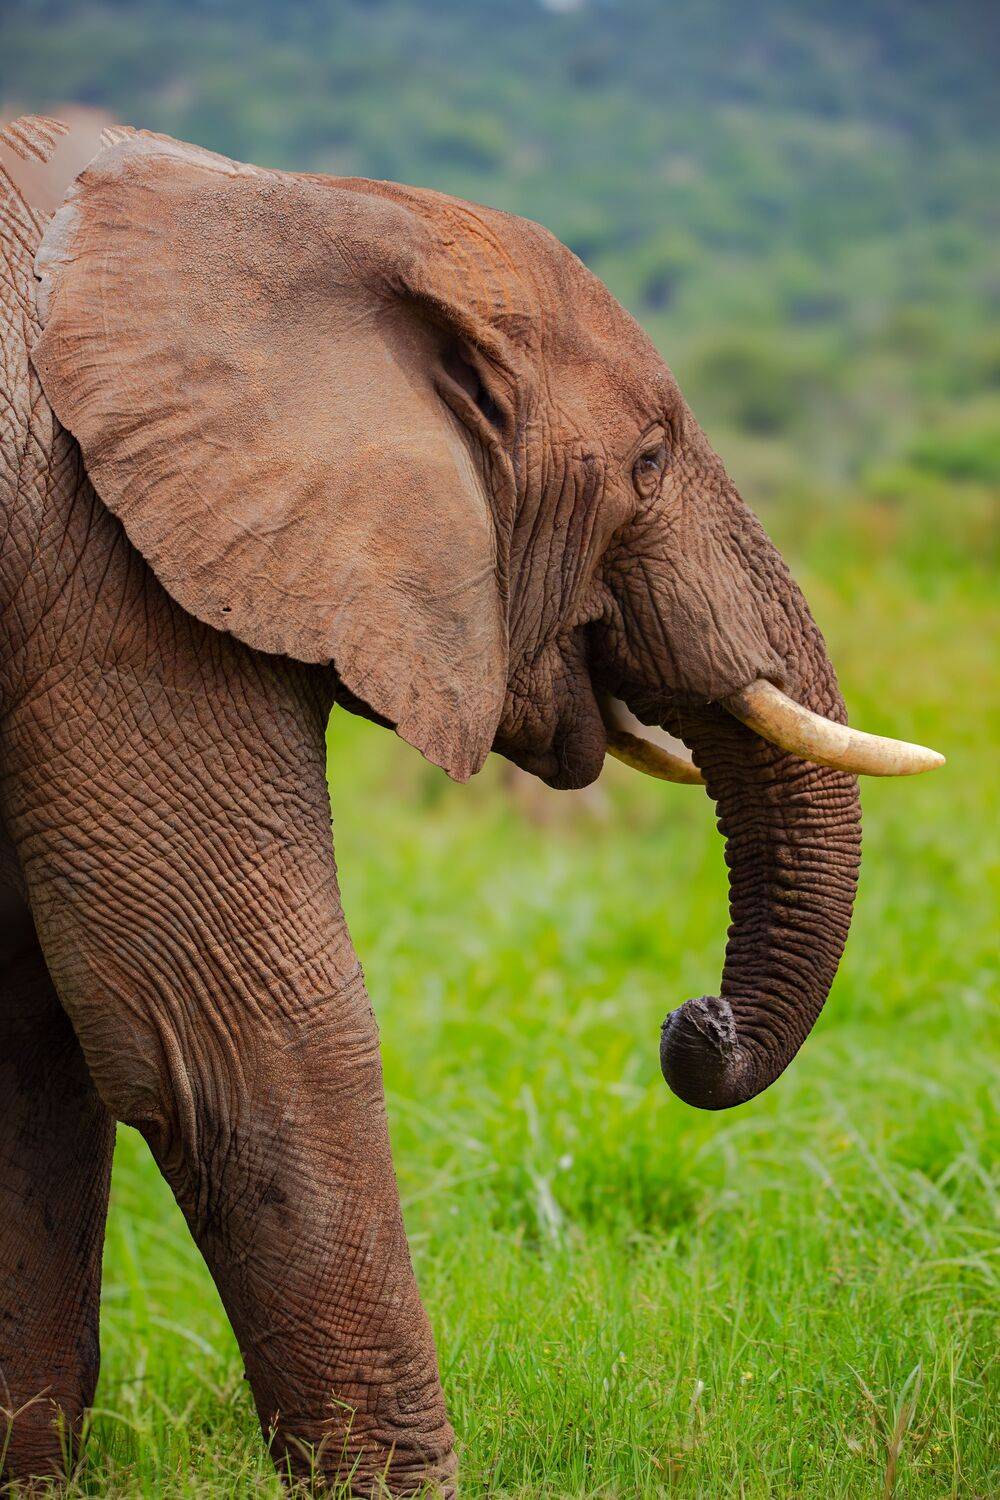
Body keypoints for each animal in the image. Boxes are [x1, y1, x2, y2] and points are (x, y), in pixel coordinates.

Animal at [0, 115, 941, 1493]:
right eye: (647, 461)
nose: (693, 1027)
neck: (288, 199)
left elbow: (36, 1043)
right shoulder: (110, 567)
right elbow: (228, 1029)